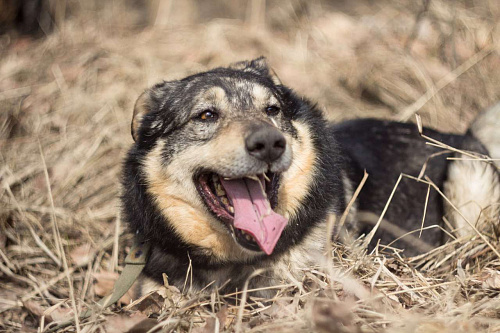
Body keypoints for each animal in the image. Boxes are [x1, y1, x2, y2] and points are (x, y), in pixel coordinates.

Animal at [122, 57, 500, 296]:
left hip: (468, 174)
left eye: (272, 110)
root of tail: (463, 135)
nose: (269, 143)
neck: (235, 262)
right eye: (206, 115)